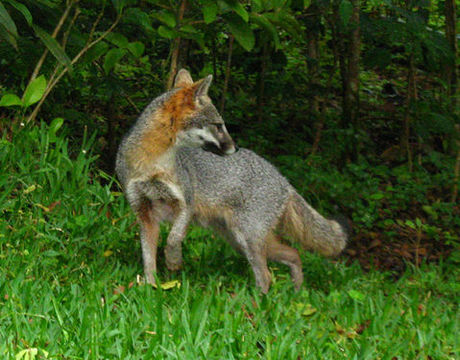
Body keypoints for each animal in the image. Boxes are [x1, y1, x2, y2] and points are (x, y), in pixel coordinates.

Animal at [117, 69, 346, 292]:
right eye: (218, 126)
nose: (235, 148)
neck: (152, 165)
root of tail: (284, 180)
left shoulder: (186, 203)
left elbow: (174, 238)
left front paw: (173, 260)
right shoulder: (144, 213)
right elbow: (148, 261)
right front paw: (151, 288)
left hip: (247, 238)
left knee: (267, 275)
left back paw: (258, 301)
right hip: (240, 241)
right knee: (293, 254)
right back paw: (295, 292)